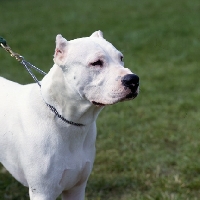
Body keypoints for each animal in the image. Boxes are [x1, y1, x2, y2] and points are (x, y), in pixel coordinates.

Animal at [0, 30, 139, 199]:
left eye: (121, 58)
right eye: (96, 63)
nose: (133, 80)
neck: (65, 119)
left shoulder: (76, 188)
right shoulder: (43, 192)